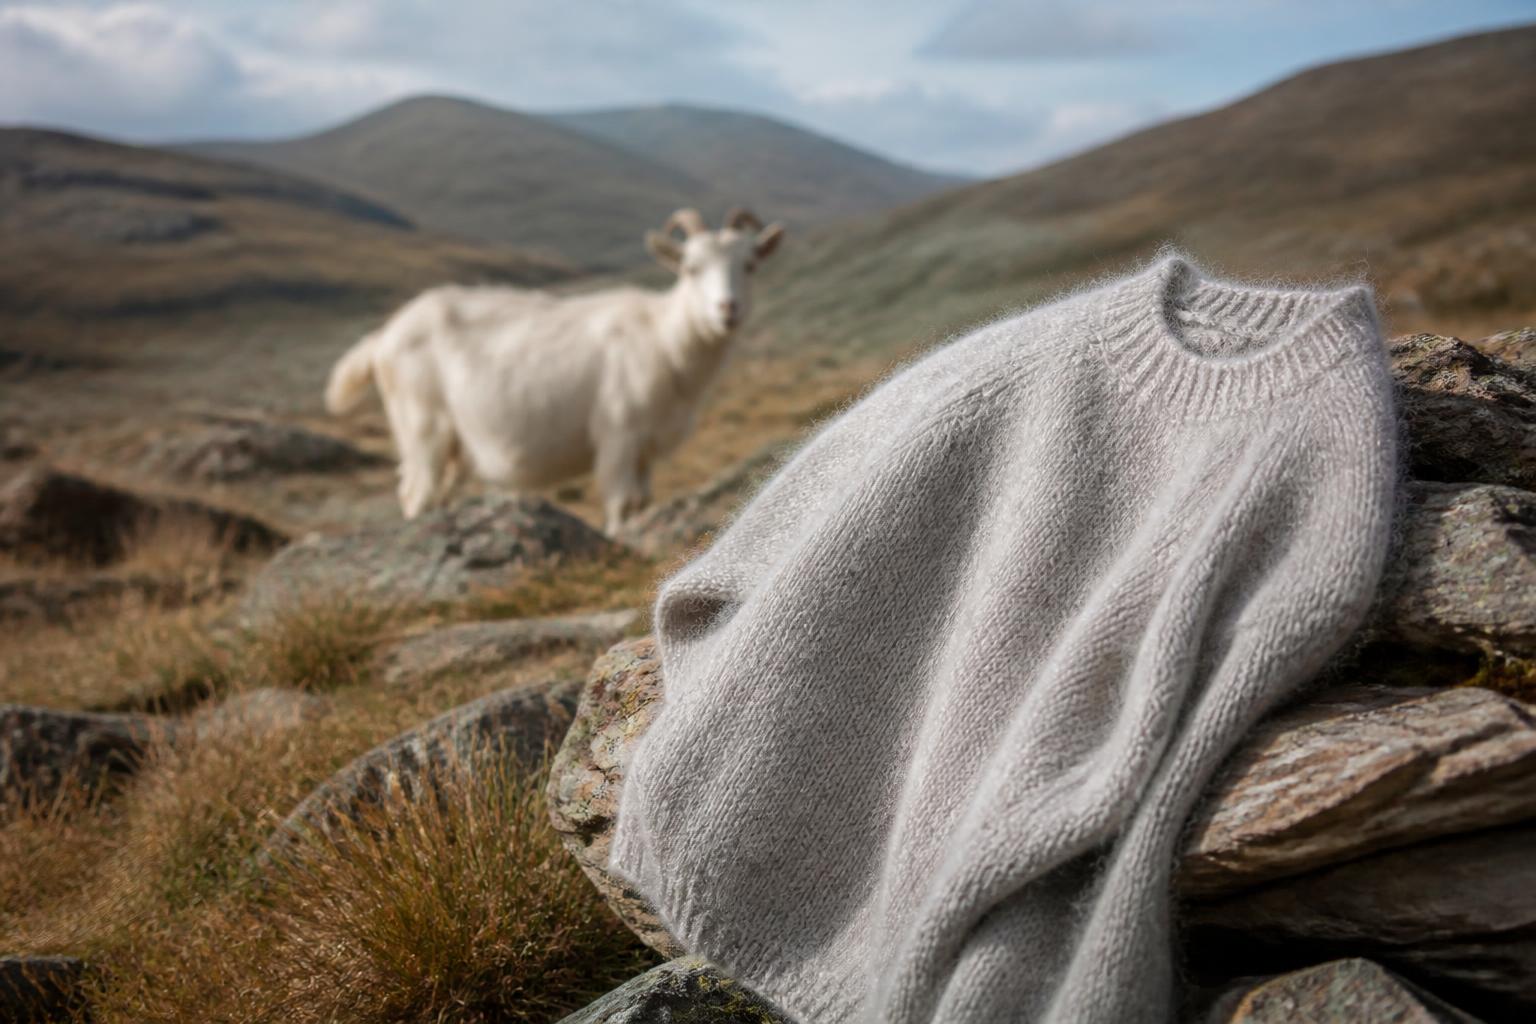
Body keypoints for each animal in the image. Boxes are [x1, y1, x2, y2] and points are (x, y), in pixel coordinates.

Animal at [324, 207, 785, 534]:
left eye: (750, 264)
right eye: (690, 268)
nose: (727, 309)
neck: (663, 337)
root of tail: (382, 338)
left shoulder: (644, 449)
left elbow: (641, 502)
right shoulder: (618, 435)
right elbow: (621, 506)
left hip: (453, 443)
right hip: (422, 425)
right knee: (415, 493)